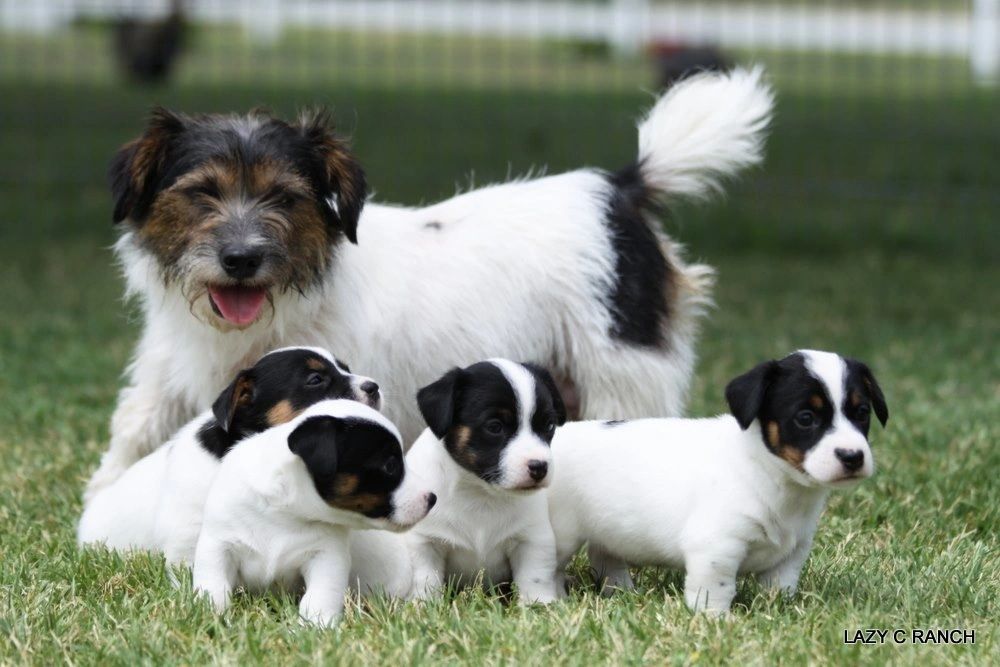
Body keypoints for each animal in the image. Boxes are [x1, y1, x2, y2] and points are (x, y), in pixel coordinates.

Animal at [86, 66, 772, 500]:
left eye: (284, 197)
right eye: (201, 193)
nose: (241, 259)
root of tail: (618, 189)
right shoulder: (169, 376)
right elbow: (138, 432)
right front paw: (107, 502)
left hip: (624, 377)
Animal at [191, 402, 434, 628]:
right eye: (390, 465)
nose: (432, 498)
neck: (284, 511)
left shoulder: (326, 556)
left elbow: (320, 595)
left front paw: (316, 626)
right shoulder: (219, 545)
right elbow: (214, 584)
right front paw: (212, 616)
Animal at [402, 360, 568, 604]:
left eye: (549, 426)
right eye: (495, 426)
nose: (539, 467)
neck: (480, 493)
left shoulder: (531, 539)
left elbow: (534, 577)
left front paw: (538, 604)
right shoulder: (425, 542)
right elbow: (425, 579)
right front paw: (423, 605)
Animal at [548, 350, 892, 616]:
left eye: (862, 412)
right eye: (805, 418)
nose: (853, 456)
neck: (766, 470)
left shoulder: (792, 553)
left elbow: (781, 586)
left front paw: (780, 609)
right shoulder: (717, 546)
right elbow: (716, 589)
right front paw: (716, 620)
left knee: (605, 558)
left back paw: (621, 591)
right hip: (559, 536)